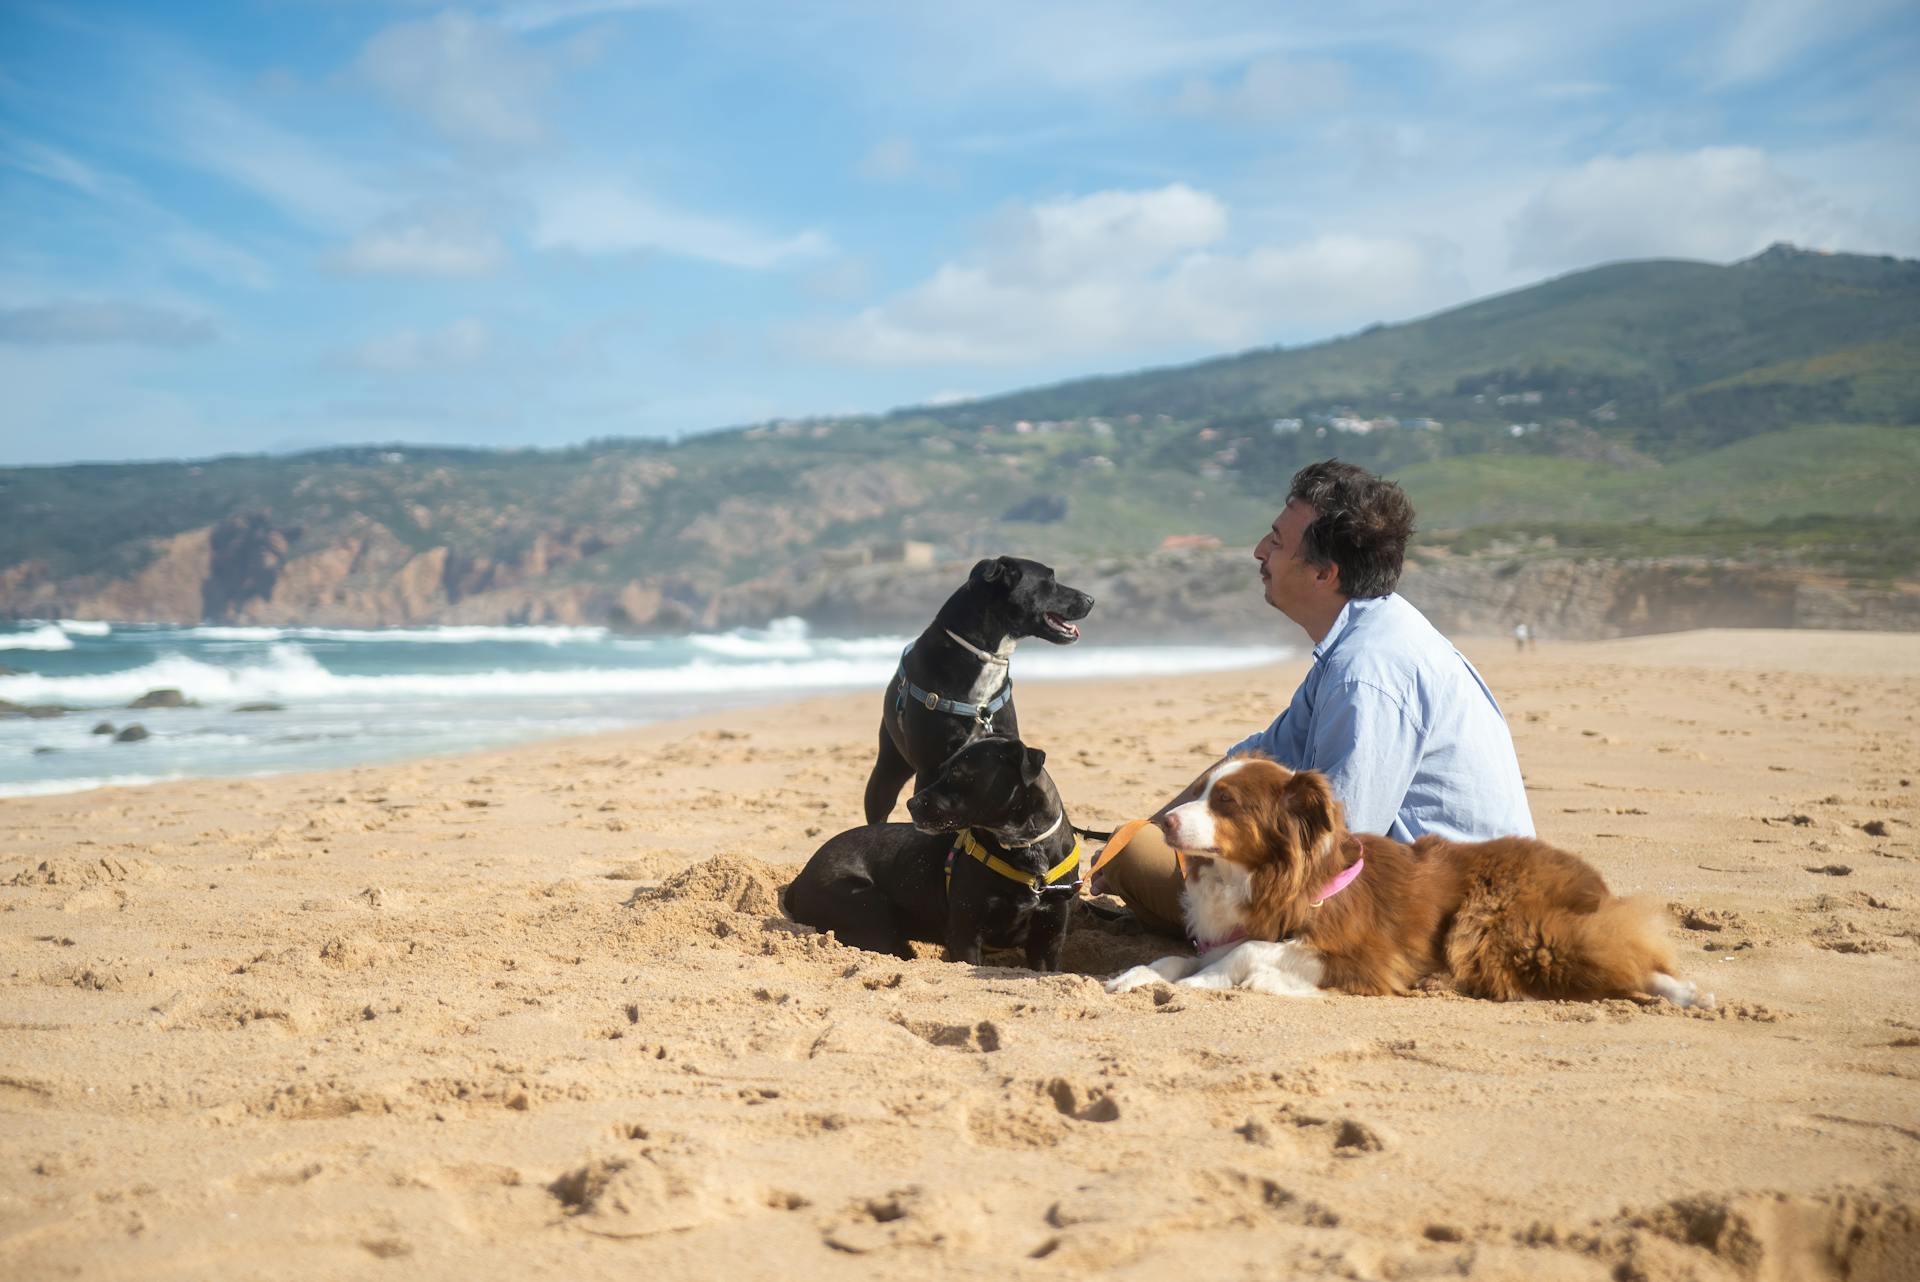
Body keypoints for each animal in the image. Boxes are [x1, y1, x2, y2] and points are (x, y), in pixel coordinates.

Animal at [783, 736, 1082, 967]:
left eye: (958, 773)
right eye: (943, 769)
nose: (911, 803)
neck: (1025, 847)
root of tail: (798, 881)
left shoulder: (1048, 938)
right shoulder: (965, 935)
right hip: (869, 908)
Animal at [1105, 756, 1720, 1005]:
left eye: (1226, 803)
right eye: (1201, 792)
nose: (1165, 821)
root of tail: (1593, 882)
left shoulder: (1369, 955)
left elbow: (1247, 954)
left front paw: (1211, 983)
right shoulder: (1228, 931)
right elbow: (1177, 958)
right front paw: (1138, 975)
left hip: (1498, 925)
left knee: (1613, 955)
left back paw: (1682, 992)